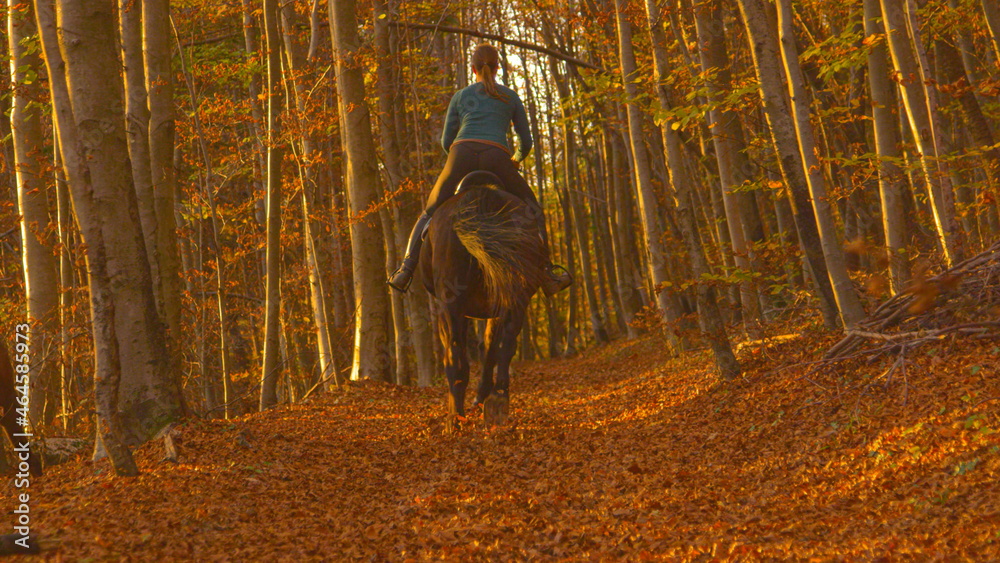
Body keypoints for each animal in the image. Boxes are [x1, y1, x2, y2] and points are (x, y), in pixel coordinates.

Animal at [420, 172, 552, 428]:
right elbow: (491, 347)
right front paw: (483, 397)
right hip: (515, 296)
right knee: (506, 345)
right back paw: (498, 399)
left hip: (451, 303)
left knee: (454, 354)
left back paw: (455, 418)